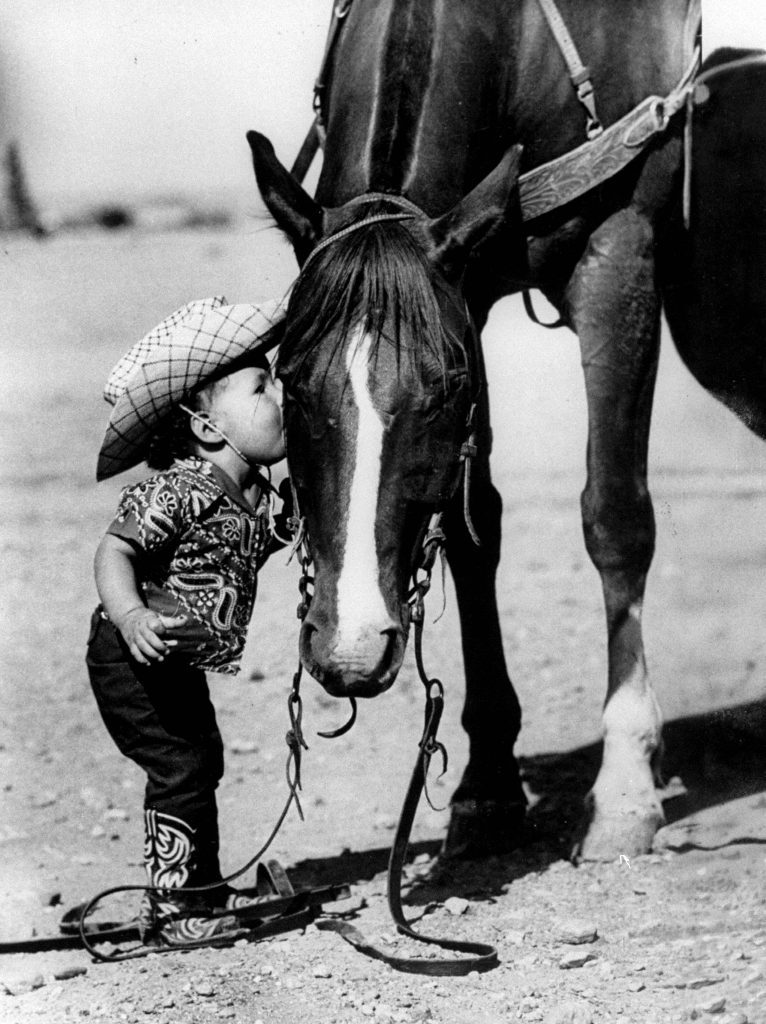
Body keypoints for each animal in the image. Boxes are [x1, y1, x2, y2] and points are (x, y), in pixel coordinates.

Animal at [245, 0, 753, 864]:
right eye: (289, 377)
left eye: (442, 387)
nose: (350, 646)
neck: (513, 39)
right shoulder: (468, 287)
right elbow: (472, 527)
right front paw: (486, 783)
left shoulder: (618, 256)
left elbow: (616, 517)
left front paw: (625, 786)